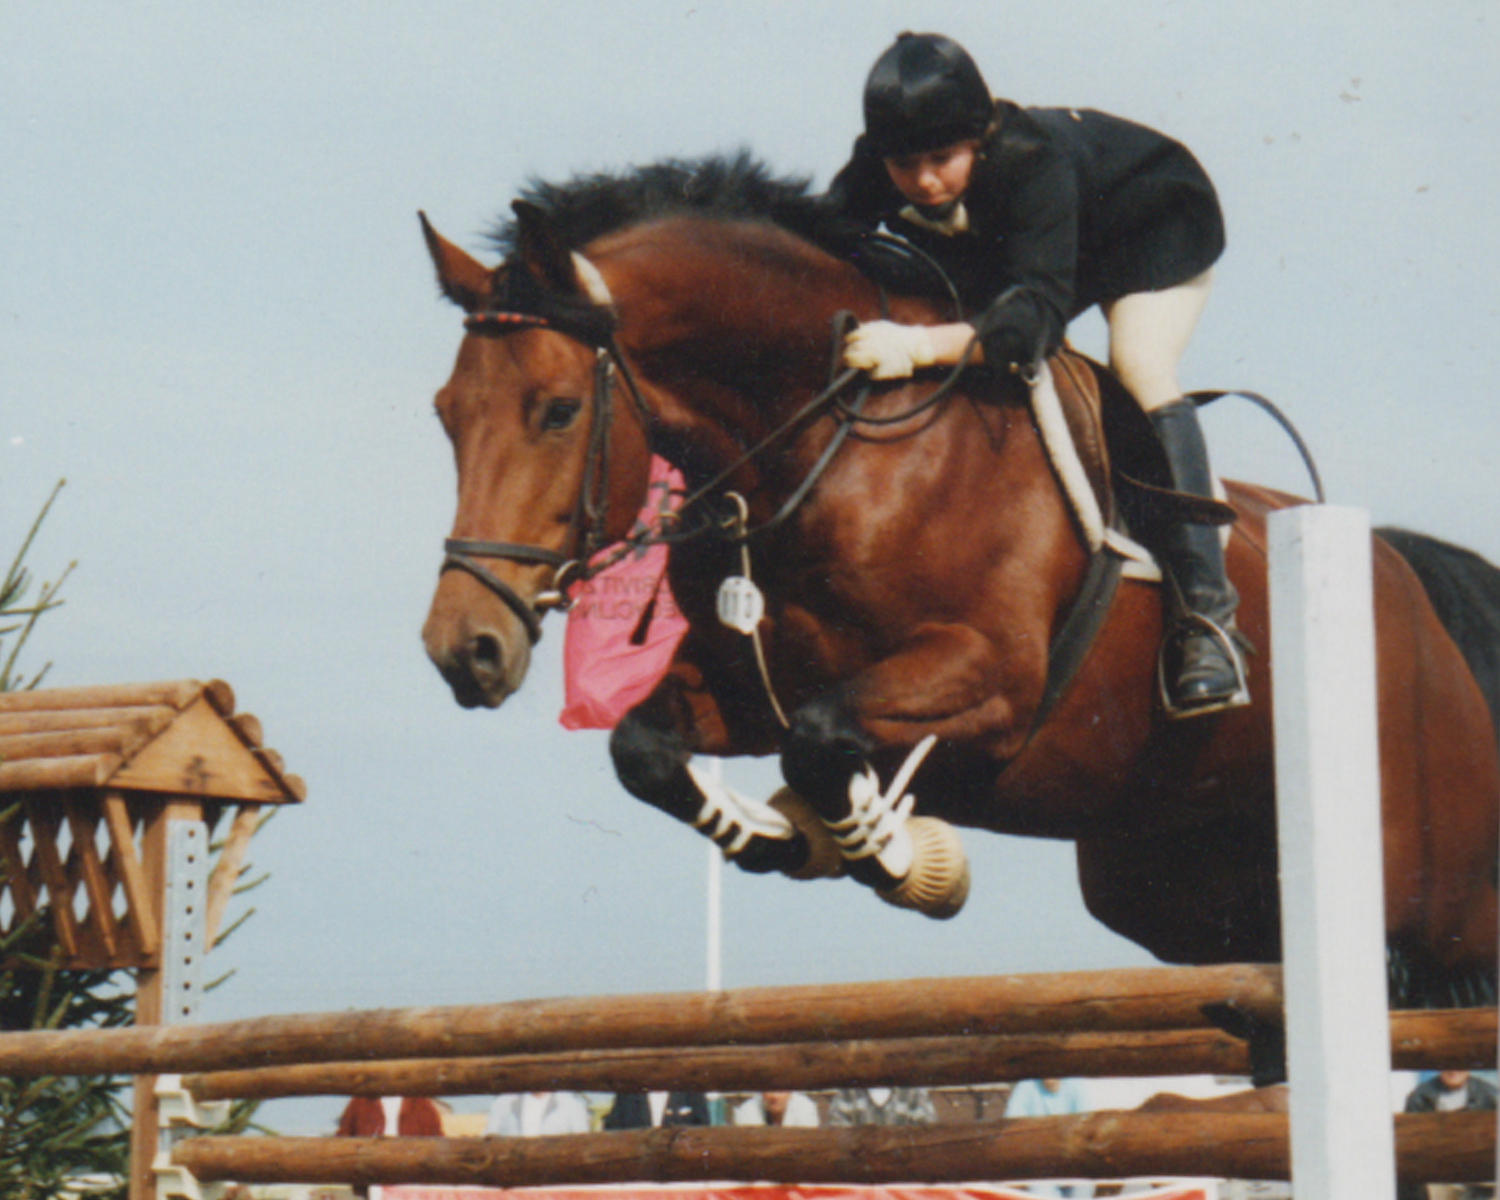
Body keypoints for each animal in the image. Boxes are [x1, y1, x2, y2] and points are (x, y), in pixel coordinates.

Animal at [420, 154, 1500, 1020]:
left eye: (558, 410)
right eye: (445, 413)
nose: (462, 650)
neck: (833, 449)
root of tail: (1404, 578)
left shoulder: (989, 678)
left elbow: (824, 741)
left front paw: (901, 855)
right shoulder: (748, 684)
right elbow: (647, 749)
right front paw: (780, 836)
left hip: (1439, 900)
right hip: (1184, 898)